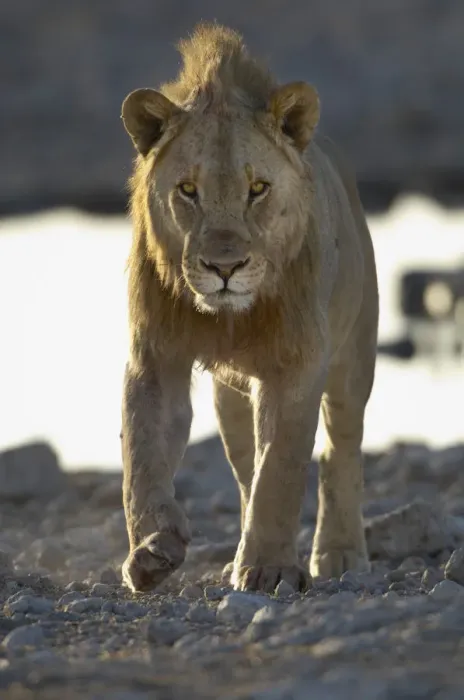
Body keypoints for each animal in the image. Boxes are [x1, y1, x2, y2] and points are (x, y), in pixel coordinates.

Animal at [119, 22, 379, 594]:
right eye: (187, 190)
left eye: (257, 188)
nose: (225, 267)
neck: (230, 318)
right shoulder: (156, 359)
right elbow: (143, 457)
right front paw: (153, 550)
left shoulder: (297, 364)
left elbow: (280, 468)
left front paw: (270, 569)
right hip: (231, 396)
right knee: (243, 467)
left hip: (354, 359)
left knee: (340, 448)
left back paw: (339, 553)